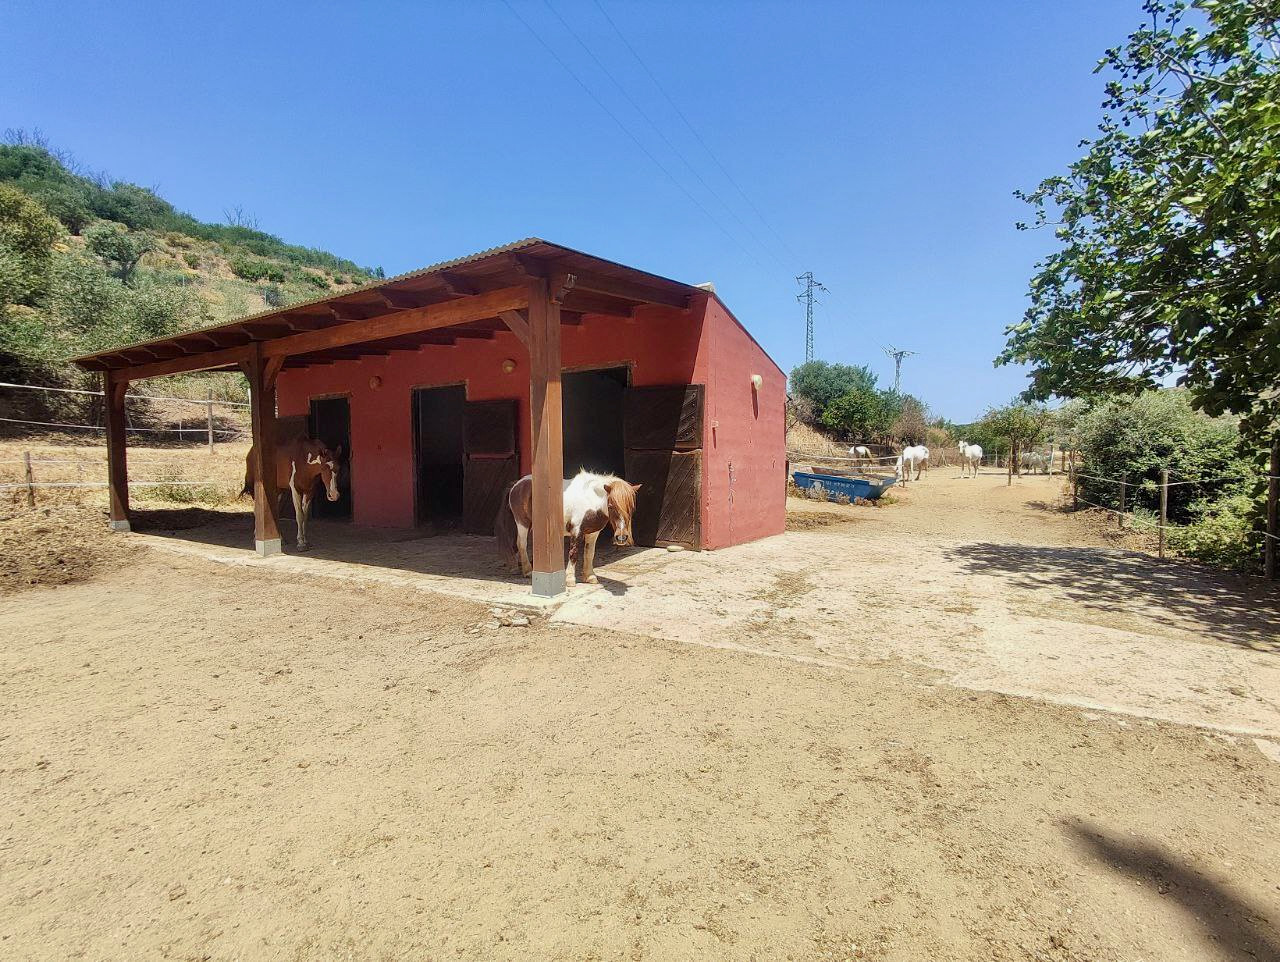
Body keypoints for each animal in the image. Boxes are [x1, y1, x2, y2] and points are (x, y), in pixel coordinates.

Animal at [496, 468, 640, 583]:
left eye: (632, 508)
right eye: (611, 506)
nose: (621, 538)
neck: (590, 499)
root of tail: (517, 484)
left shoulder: (593, 534)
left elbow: (589, 553)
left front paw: (590, 576)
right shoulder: (577, 531)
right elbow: (573, 553)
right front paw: (570, 579)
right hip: (522, 523)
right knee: (521, 544)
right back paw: (528, 571)